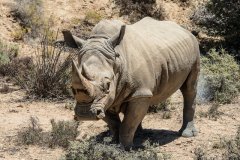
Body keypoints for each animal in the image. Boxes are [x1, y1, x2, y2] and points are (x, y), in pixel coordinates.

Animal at [62, 17, 201, 149]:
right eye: (72, 88)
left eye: (107, 85)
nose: (85, 114)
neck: (118, 61)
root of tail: (184, 29)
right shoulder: (104, 101)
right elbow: (115, 123)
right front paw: (113, 145)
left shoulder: (137, 92)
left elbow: (127, 124)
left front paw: (125, 149)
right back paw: (139, 135)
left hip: (195, 48)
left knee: (189, 89)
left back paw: (187, 134)